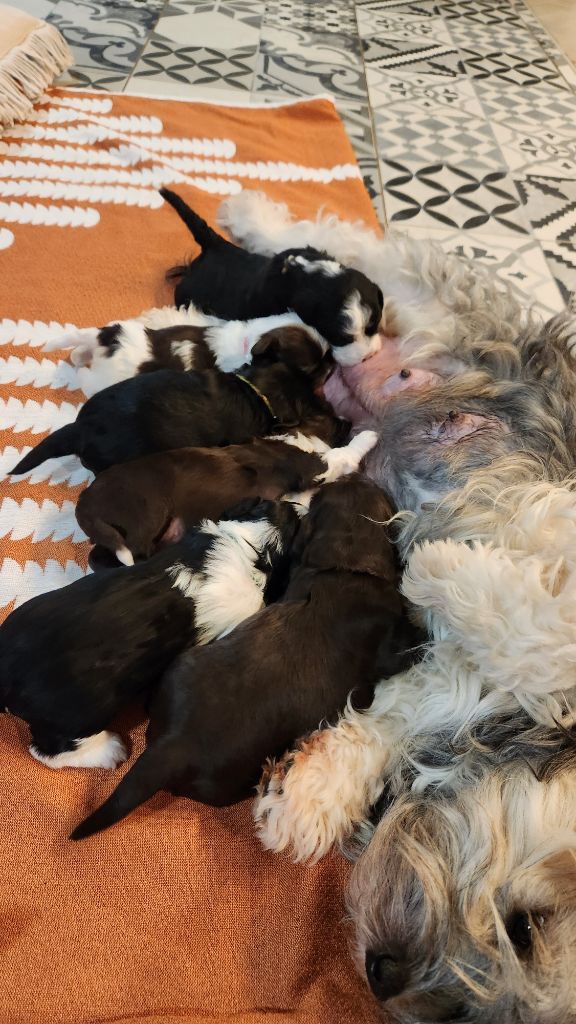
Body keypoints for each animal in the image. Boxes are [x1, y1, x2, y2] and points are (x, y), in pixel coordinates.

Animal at [0, 495, 295, 770]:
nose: (293, 505)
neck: (250, 543)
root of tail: (5, 674)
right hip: (80, 716)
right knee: (48, 751)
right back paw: (111, 750)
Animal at [70, 479, 422, 839]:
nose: (357, 477)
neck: (343, 566)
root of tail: (171, 746)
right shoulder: (390, 645)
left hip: (180, 668)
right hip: (227, 782)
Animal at [158, 188, 381, 368]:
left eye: (373, 327)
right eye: (341, 337)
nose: (368, 357)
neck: (310, 274)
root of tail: (215, 243)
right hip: (187, 291)